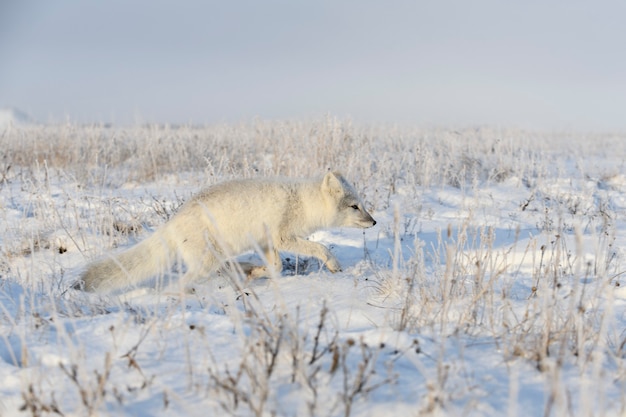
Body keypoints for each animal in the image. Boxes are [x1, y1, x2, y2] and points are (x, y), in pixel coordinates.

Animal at [75, 171, 372, 290]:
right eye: (355, 206)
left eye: (362, 204)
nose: (374, 222)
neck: (301, 201)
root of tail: (172, 223)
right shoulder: (281, 236)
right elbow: (319, 247)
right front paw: (333, 264)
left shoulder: (266, 241)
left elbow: (275, 266)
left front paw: (256, 272)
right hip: (204, 261)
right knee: (181, 282)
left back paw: (241, 269)